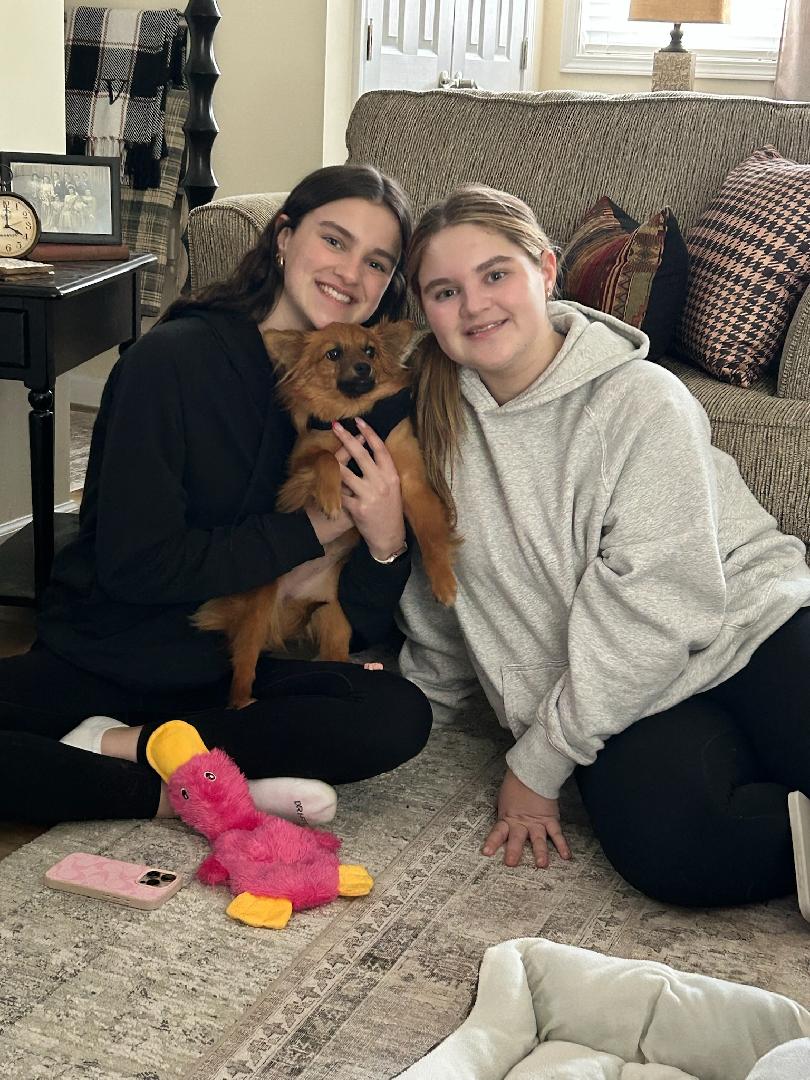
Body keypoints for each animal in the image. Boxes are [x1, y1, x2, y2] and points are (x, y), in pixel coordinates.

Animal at [192, 319, 459, 709]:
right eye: (333, 354)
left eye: (370, 351)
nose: (363, 368)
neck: (351, 417)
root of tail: (293, 602)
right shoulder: (296, 477)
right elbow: (325, 459)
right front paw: (331, 496)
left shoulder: (408, 481)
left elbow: (431, 535)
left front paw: (443, 582)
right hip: (257, 616)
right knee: (244, 665)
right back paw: (242, 701)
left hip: (335, 621)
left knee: (336, 659)